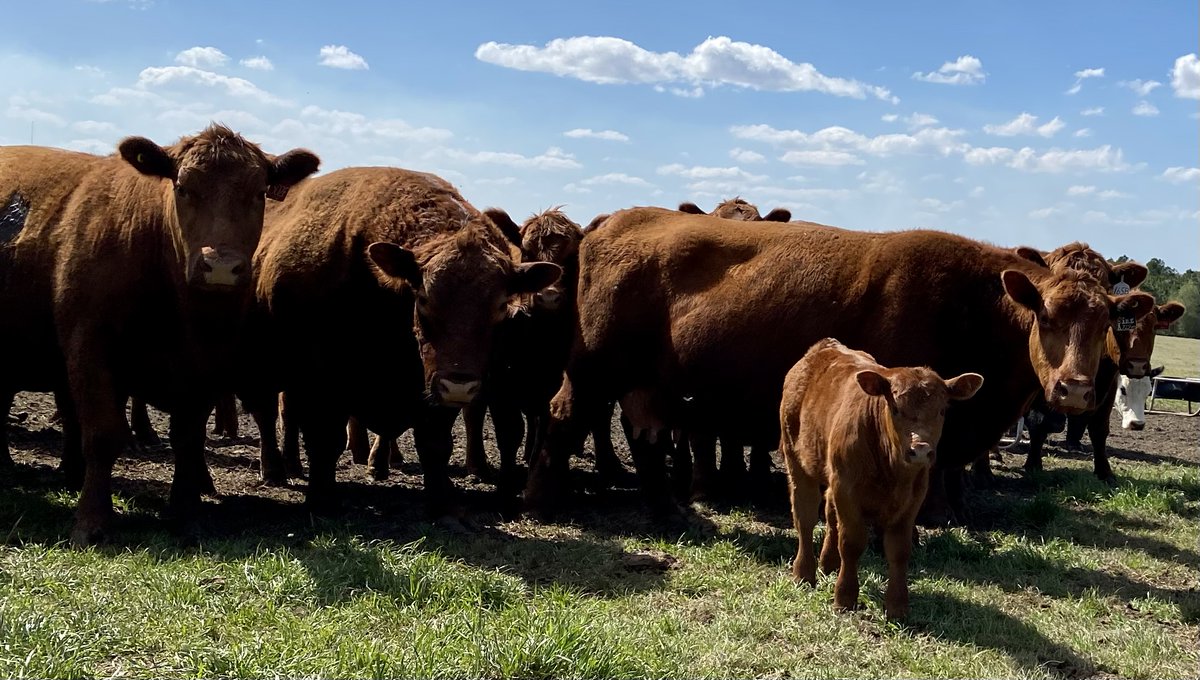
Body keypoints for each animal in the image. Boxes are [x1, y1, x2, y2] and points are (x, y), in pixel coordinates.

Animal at [0, 125, 319, 544]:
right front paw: (92, 522)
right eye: (182, 188)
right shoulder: (89, 347)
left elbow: (188, 439)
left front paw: (186, 515)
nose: (220, 266)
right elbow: (101, 434)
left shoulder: (209, 361)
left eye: (258, 192)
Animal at [237, 166, 560, 518]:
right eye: (423, 299)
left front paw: (441, 503)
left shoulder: (431, 390)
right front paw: (322, 500)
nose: (459, 386)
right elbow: (325, 440)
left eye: (501, 305)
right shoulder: (321, 381)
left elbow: (434, 444)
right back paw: (277, 471)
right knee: (270, 416)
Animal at [522, 207, 1156, 525]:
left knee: (646, 431)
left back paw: (662, 508)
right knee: (564, 414)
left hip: (647, 379)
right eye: (1044, 315)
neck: (969, 302)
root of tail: (613, 220)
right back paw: (541, 499)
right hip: (592, 368)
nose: (1075, 391)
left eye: (1106, 318)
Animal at [780, 338, 983, 620]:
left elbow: (899, 550)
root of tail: (823, 347)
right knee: (805, 516)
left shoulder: (914, 497)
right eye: (895, 408)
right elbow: (852, 543)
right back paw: (804, 573)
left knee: (830, 514)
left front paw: (897, 606)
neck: (892, 472)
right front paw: (844, 597)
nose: (920, 450)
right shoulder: (847, 489)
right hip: (796, 460)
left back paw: (828, 564)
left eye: (942, 410)